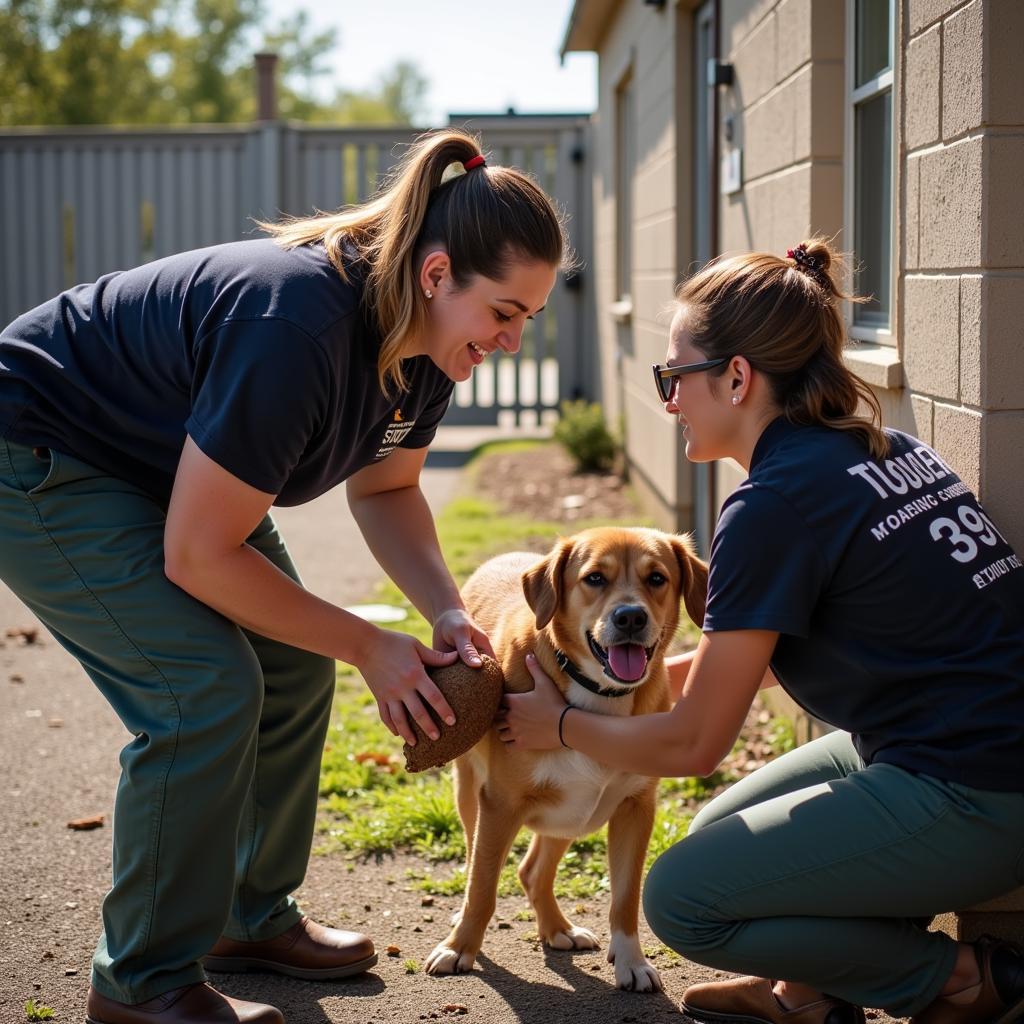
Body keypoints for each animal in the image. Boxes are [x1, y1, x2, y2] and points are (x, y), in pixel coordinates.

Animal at [421, 528, 704, 991]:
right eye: (595, 578)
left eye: (657, 578)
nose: (630, 617)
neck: (598, 697)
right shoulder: (499, 805)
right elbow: (482, 887)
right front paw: (459, 948)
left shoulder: (636, 808)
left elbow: (625, 898)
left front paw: (632, 961)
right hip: (471, 795)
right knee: (477, 862)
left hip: (575, 812)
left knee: (533, 872)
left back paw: (557, 929)